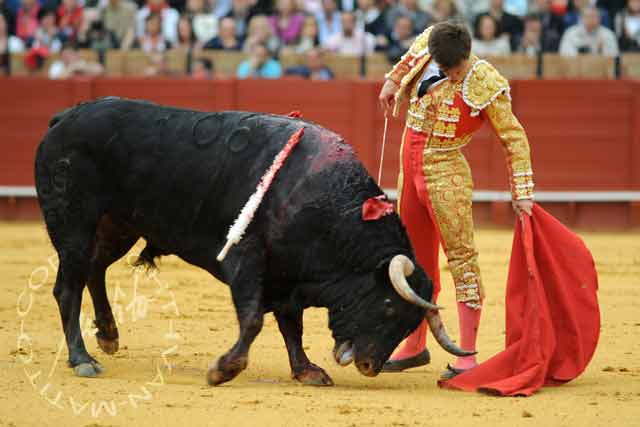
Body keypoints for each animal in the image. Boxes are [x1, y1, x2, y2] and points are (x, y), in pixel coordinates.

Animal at [35, 99, 472, 388]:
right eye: (387, 307)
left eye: (410, 323)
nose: (369, 365)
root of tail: (64, 118)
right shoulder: (247, 259)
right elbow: (255, 319)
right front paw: (223, 369)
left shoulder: (287, 277)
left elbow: (291, 325)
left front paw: (307, 371)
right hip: (73, 225)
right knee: (67, 287)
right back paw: (83, 359)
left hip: (117, 225)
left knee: (94, 269)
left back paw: (108, 335)